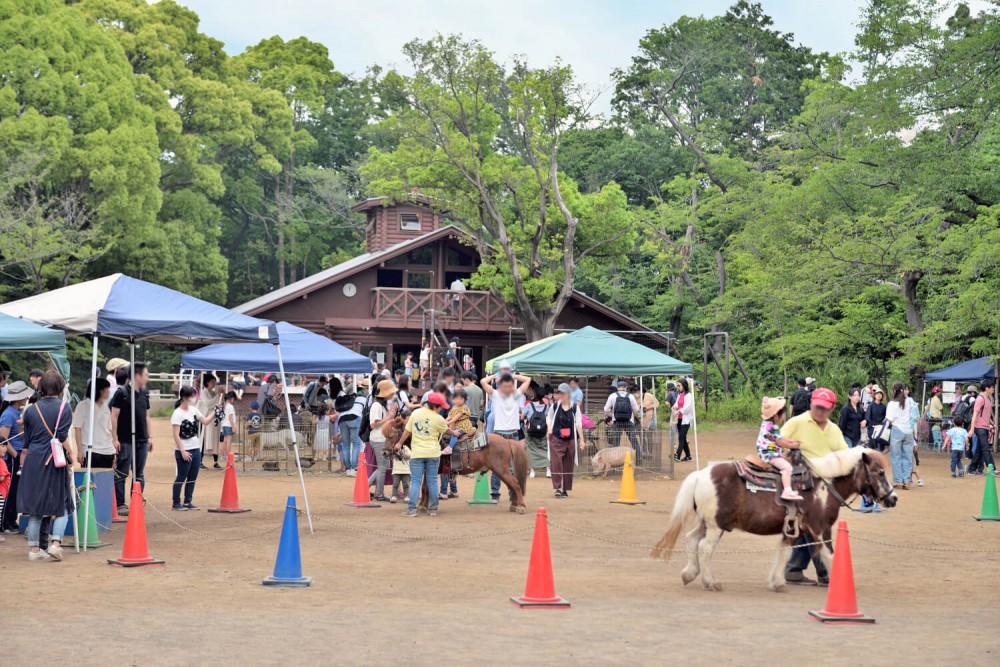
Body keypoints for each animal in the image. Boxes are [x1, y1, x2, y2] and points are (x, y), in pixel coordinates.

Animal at [380, 414, 532, 516]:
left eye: (392, 435)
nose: (384, 453)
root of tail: (507, 441)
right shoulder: (428, 470)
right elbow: (425, 488)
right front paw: (423, 505)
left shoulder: (430, 470)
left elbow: (425, 488)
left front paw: (422, 506)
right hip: (500, 470)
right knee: (512, 485)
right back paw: (514, 505)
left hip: (501, 469)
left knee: (515, 484)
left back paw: (521, 506)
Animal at [652, 448, 896, 596]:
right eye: (880, 472)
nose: (893, 498)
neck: (823, 486)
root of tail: (700, 475)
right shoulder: (820, 529)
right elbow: (830, 555)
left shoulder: (794, 530)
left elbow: (784, 554)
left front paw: (777, 582)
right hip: (715, 526)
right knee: (705, 548)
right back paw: (710, 582)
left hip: (706, 523)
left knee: (692, 540)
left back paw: (689, 574)